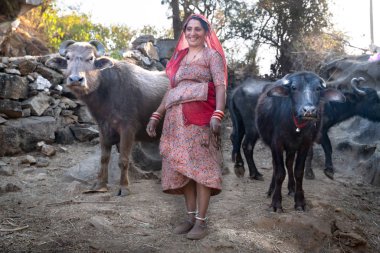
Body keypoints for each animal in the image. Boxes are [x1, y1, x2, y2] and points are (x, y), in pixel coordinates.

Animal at [46, 40, 168, 197]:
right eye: (68, 58)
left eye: (90, 58)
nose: (76, 79)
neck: (107, 92)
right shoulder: (103, 128)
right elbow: (104, 158)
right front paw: (100, 184)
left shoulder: (128, 129)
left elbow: (123, 159)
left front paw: (124, 187)